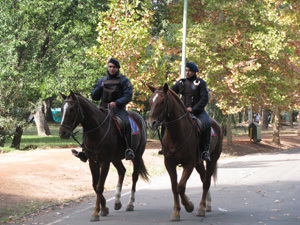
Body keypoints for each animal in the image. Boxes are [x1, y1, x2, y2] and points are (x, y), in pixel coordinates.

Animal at [58, 91, 149, 221]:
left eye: (71, 109)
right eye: (61, 109)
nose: (62, 133)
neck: (97, 130)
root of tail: (140, 117)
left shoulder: (105, 162)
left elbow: (99, 187)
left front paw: (96, 212)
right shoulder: (92, 161)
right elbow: (95, 185)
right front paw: (104, 208)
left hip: (137, 156)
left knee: (134, 177)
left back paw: (130, 204)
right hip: (116, 159)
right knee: (122, 171)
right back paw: (117, 201)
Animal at [147, 83, 223, 221]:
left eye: (162, 101)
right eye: (150, 101)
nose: (151, 123)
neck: (176, 134)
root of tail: (217, 125)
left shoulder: (189, 163)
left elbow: (180, 186)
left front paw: (189, 205)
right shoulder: (169, 163)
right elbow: (174, 187)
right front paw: (176, 212)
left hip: (212, 159)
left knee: (206, 182)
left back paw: (202, 208)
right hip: (199, 163)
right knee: (204, 178)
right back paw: (207, 204)